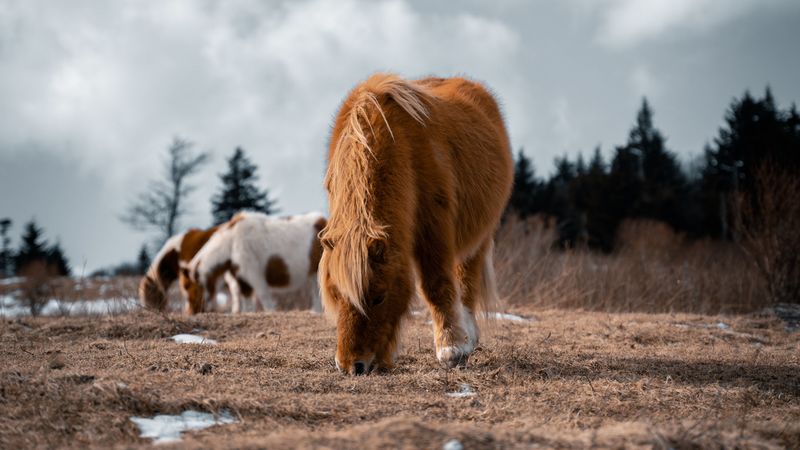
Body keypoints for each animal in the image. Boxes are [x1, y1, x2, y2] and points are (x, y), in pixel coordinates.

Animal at [187, 211, 327, 313]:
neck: (232, 242)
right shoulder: (241, 279)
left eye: (195, 285)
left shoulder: (254, 274)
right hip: (312, 274)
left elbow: (263, 296)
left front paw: (271, 312)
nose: (198, 310)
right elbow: (247, 300)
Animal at [318, 73, 513, 375]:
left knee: (466, 282)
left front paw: (451, 349)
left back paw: (468, 338)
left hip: (478, 238)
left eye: (379, 297)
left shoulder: (433, 229)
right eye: (336, 295)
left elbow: (436, 286)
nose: (352, 366)